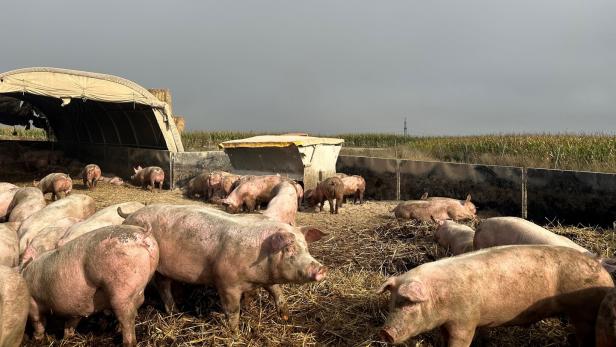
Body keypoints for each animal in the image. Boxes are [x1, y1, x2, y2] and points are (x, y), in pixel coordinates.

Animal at [22, 224, 159, 346]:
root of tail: (143, 235)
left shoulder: (33, 302)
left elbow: (38, 322)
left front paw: (37, 339)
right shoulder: (75, 310)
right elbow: (70, 323)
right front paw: (66, 338)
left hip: (121, 289)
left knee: (127, 317)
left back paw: (126, 342)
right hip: (139, 286)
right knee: (137, 305)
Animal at [122, 205, 330, 334]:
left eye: (306, 247)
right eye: (289, 249)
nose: (321, 268)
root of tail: (130, 216)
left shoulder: (267, 279)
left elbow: (277, 293)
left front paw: (286, 317)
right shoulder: (226, 282)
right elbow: (233, 310)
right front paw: (235, 333)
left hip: (163, 270)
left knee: (164, 285)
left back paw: (175, 311)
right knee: (162, 288)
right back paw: (175, 312)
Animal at [378, 246, 612, 346]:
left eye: (408, 303)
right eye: (392, 302)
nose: (385, 332)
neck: (440, 297)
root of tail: (601, 266)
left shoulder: (465, 320)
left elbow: (461, 340)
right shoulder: (447, 323)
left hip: (585, 311)